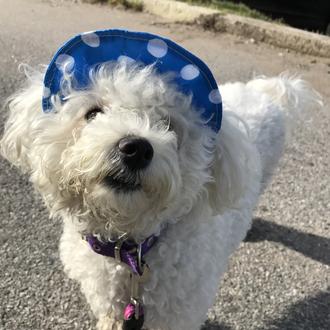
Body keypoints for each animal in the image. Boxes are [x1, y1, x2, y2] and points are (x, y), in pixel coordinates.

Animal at [0, 29, 322, 328]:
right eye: (92, 113)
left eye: (168, 124)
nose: (135, 149)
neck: (129, 248)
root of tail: (267, 91)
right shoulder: (106, 294)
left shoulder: (179, 311)